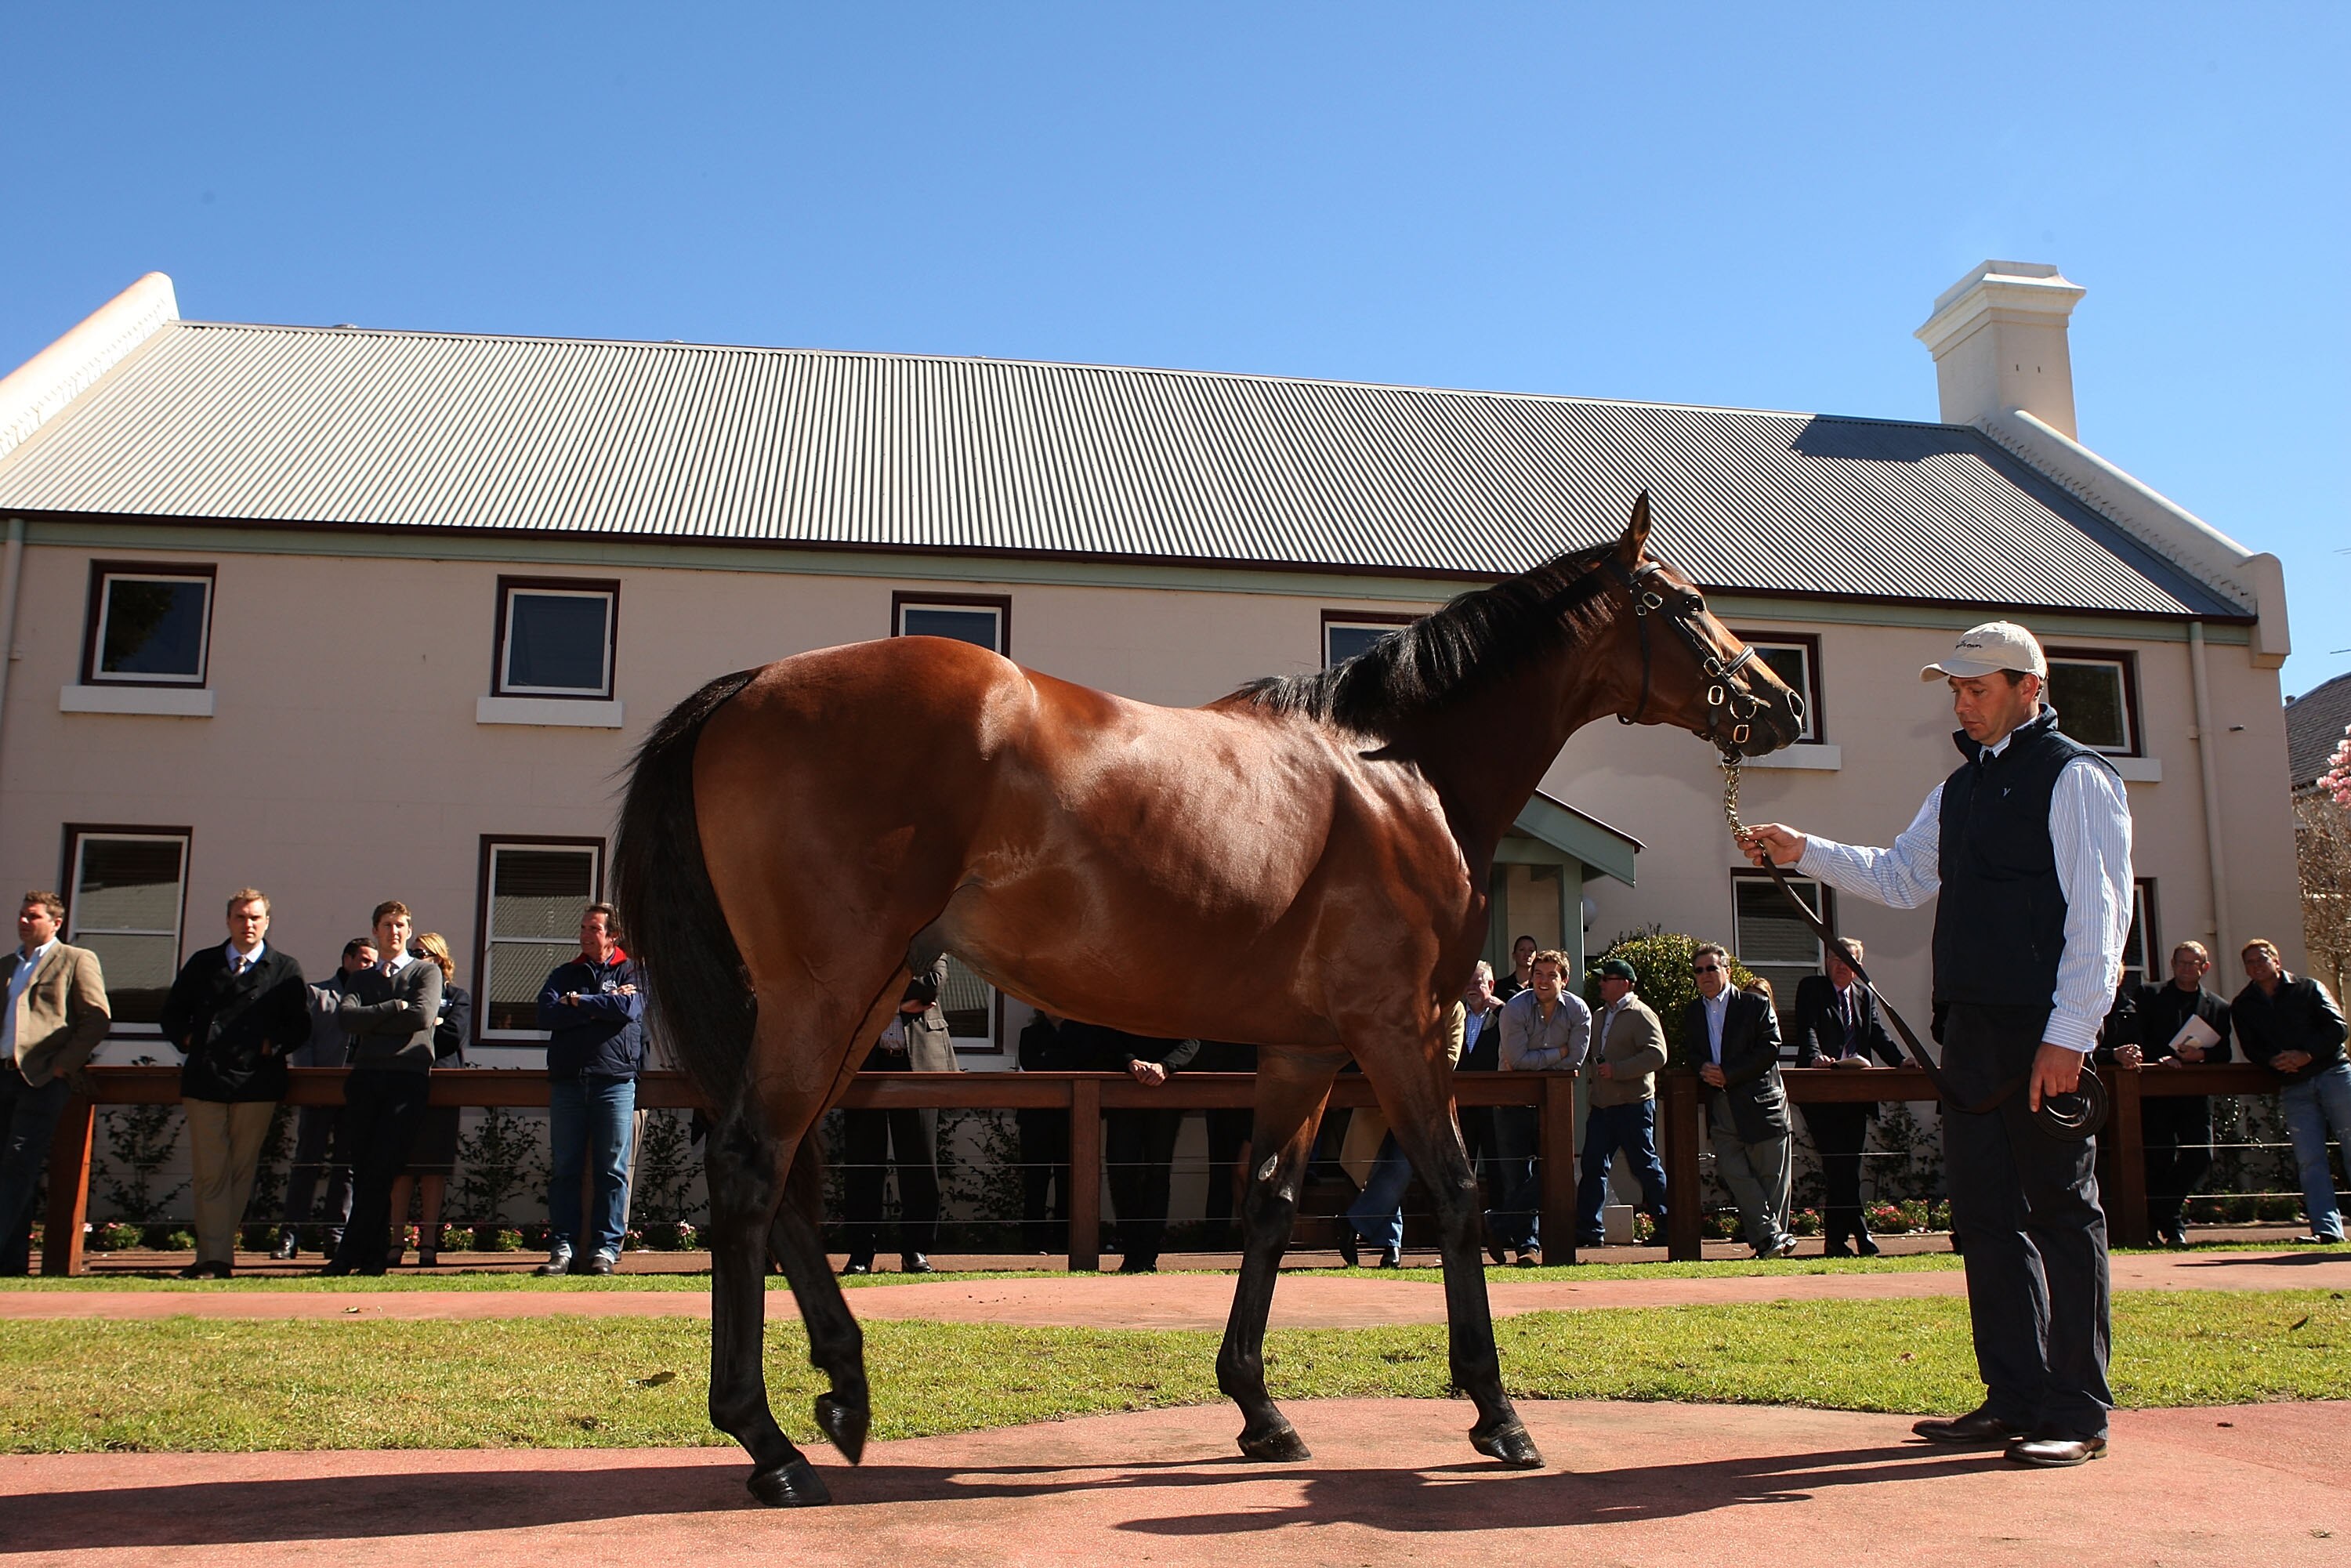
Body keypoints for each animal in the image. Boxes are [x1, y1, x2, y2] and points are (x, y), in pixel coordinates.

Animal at [613, 491, 1803, 1506]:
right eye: (1684, 602)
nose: (1781, 699)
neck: (1401, 773)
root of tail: (748, 688)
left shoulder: (1303, 1050)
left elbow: (1268, 1201)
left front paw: (1259, 1407)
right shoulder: (1405, 1030)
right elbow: (1460, 1193)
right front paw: (1497, 1414)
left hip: (852, 1002)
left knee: (780, 1176)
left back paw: (843, 1395)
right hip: (829, 991)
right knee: (753, 1165)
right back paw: (768, 1442)